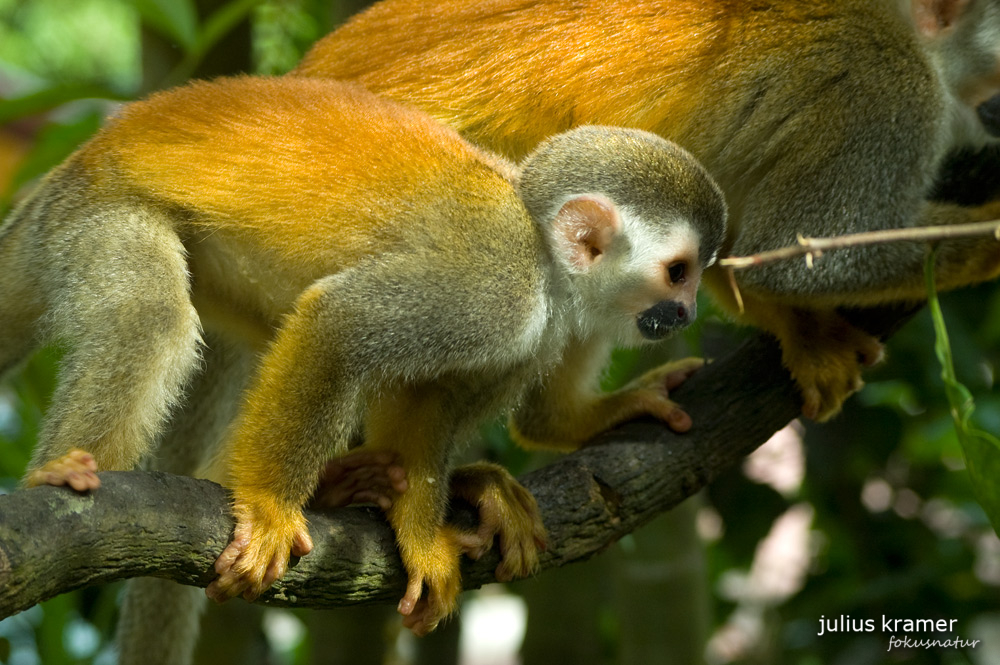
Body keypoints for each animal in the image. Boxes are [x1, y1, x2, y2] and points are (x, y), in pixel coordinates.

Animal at [0, 76, 724, 632]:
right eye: (679, 271)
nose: (688, 312)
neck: (547, 263)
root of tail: (72, 168)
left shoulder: (528, 335)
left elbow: (438, 406)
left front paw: (424, 537)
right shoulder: (494, 288)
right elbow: (338, 322)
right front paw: (268, 505)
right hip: (92, 216)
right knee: (155, 318)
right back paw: (64, 476)